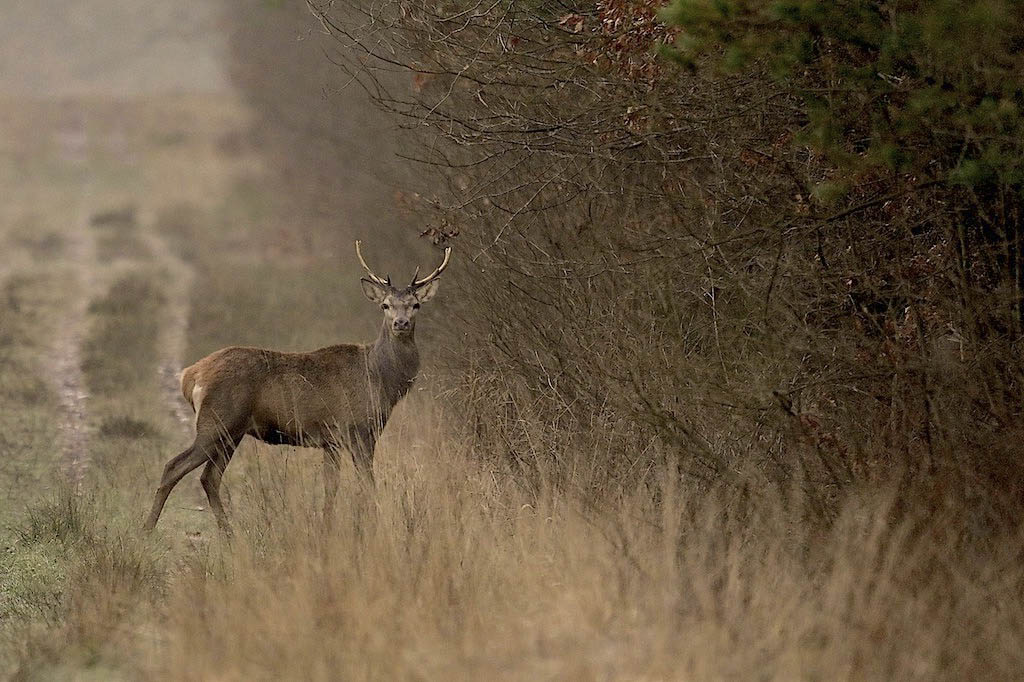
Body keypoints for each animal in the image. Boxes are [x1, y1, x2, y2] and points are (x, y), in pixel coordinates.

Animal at [143, 241, 451, 534]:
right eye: (385, 305)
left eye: (416, 305)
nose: (401, 323)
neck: (381, 379)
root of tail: (190, 375)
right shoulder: (359, 430)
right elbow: (366, 485)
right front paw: (372, 527)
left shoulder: (331, 440)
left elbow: (331, 487)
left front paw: (326, 527)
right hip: (215, 422)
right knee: (174, 466)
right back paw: (148, 529)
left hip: (233, 432)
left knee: (209, 477)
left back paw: (228, 533)